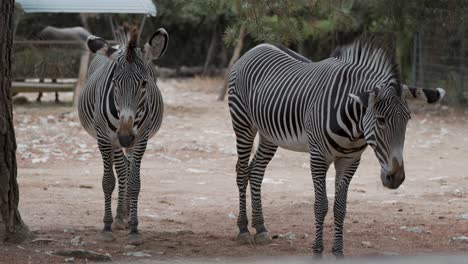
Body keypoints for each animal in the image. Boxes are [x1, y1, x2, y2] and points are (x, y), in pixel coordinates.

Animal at [77, 26, 169, 245]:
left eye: (144, 83)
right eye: (114, 82)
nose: (126, 136)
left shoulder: (141, 138)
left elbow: (135, 182)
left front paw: (134, 228)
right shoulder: (105, 138)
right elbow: (108, 181)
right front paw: (107, 226)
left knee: (126, 168)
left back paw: (125, 214)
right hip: (112, 141)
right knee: (121, 169)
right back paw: (120, 216)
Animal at [227, 37, 446, 258]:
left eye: (408, 120)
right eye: (381, 120)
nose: (396, 177)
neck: (354, 128)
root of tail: (257, 47)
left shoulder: (350, 160)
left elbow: (340, 207)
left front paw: (338, 251)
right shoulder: (318, 156)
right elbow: (321, 205)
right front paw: (317, 251)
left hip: (269, 134)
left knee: (256, 171)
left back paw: (260, 228)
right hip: (243, 123)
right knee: (241, 171)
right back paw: (244, 229)